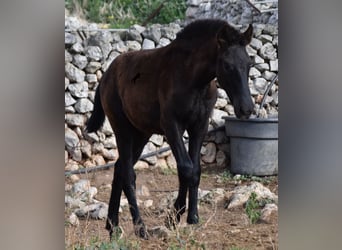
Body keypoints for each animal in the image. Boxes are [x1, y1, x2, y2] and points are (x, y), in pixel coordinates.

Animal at [85, 19, 254, 238]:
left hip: (142, 133)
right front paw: (174, 216)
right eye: (227, 65)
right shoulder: (172, 126)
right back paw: (139, 227)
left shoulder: (199, 126)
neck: (192, 78)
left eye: (249, 64)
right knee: (128, 173)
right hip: (122, 129)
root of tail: (106, 75)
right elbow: (186, 168)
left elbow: (195, 170)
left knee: (119, 168)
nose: (246, 109)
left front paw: (191, 216)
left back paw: (112, 225)